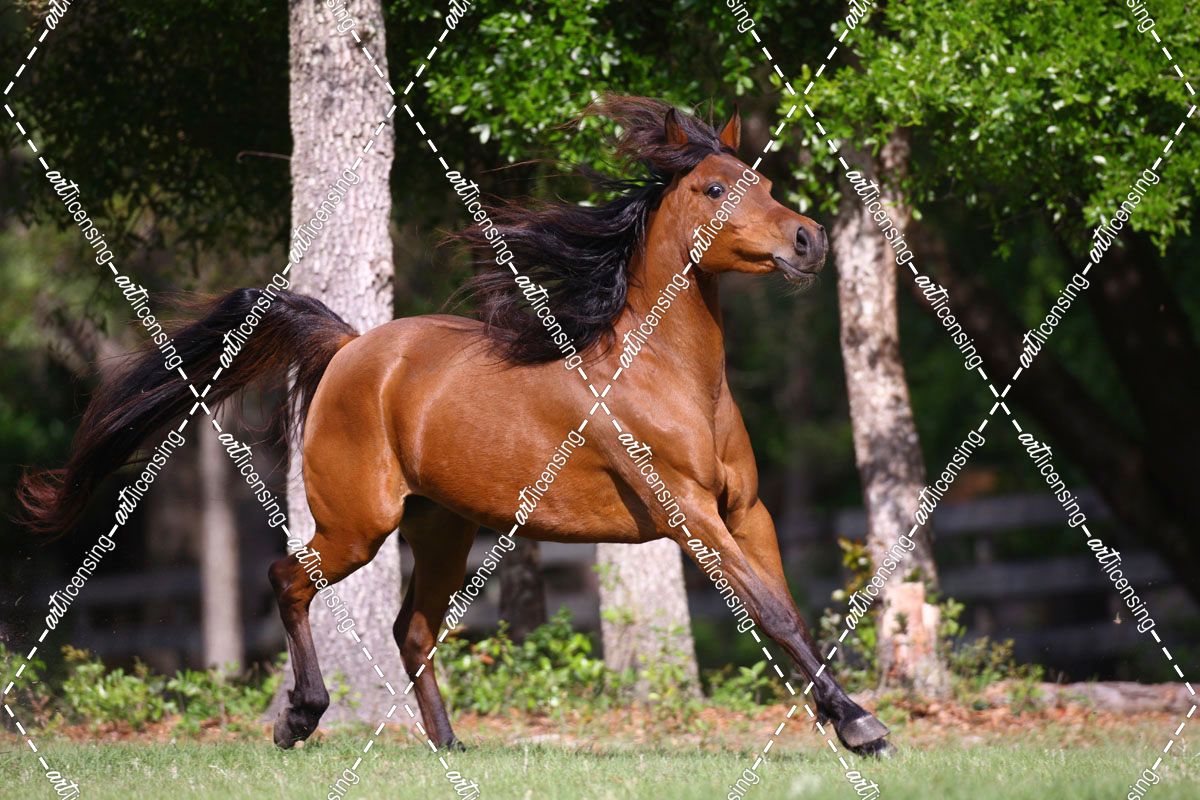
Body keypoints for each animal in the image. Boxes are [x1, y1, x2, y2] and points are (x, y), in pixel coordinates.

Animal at [19, 95, 892, 757]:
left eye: (766, 181)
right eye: (713, 189)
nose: (809, 240)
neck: (667, 377)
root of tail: (349, 348)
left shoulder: (748, 513)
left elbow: (792, 611)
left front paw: (846, 719)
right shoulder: (693, 516)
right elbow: (773, 613)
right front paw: (862, 726)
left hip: (441, 527)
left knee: (411, 628)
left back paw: (447, 746)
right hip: (359, 524)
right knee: (288, 579)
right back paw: (302, 716)